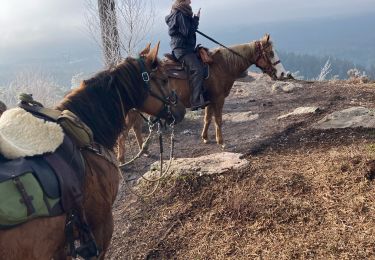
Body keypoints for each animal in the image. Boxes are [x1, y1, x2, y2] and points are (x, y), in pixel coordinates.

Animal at [162, 34, 290, 148]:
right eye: (271, 53)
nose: (282, 73)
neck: (221, 66)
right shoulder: (218, 99)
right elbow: (218, 120)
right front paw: (221, 142)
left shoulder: (209, 101)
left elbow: (207, 118)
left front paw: (205, 137)